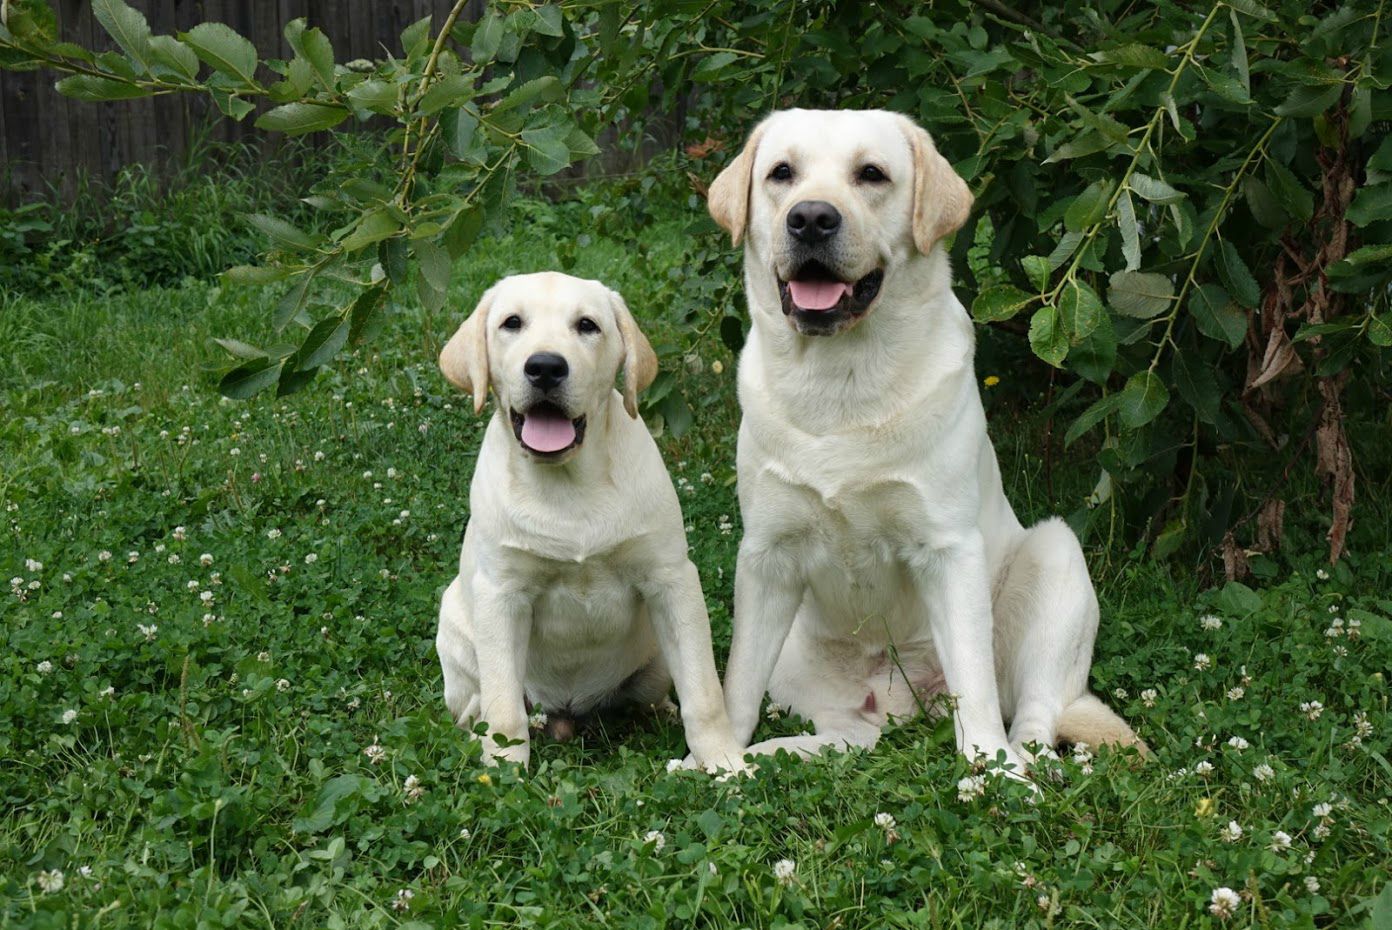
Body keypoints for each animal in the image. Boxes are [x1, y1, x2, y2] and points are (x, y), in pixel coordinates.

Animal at [434, 272, 746, 774]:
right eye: (511, 323)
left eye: (587, 325)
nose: (545, 367)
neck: (568, 486)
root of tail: (566, 713)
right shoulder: (501, 595)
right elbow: (504, 707)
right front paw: (504, 772)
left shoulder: (671, 580)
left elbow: (704, 692)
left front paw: (725, 761)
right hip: (457, 634)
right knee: (484, 701)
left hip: (655, 661)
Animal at [707, 109, 1141, 774]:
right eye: (781, 173)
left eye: (871, 174)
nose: (810, 218)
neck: (841, 384)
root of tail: (901, 700)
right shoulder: (766, 557)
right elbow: (737, 682)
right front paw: (720, 759)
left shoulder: (948, 550)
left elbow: (977, 687)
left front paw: (989, 769)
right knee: (847, 735)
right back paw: (774, 754)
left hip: (1057, 559)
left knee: (1035, 717)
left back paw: (1017, 764)